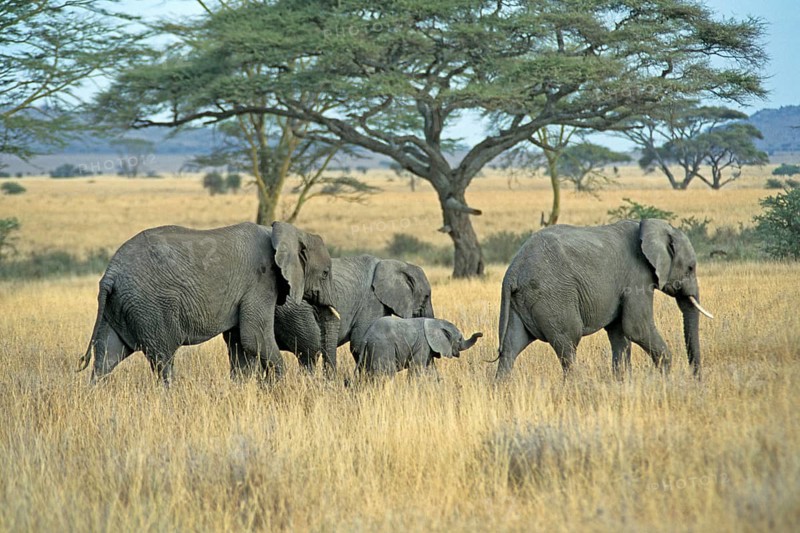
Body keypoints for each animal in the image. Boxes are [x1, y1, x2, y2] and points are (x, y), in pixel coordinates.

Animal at [77, 221, 337, 384]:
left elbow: (239, 343)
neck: (282, 231)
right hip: (150, 308)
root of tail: (110, 273)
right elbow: (253, 336)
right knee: (163, 359)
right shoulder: (261, 281)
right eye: (325, 272)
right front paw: (279, 386)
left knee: (106, 356)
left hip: (119, 306)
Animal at [354, 316, 482, 378]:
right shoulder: (423, 343)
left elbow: (430, 368)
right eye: (459, 339)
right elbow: (417, 367)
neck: (437, 322)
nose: (480, 334)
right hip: (382, 346)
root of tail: (366, 336)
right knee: (386, 373)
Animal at [495, 219, 714, 380]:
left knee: (510, 348)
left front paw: (623, 382)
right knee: (568, 345)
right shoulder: (637, 277)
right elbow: (636, 327)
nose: (696, 380)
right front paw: (665, 379)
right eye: (690, 268)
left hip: (520, 302)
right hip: (552, 298)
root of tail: (513, 271)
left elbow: (619, 334)